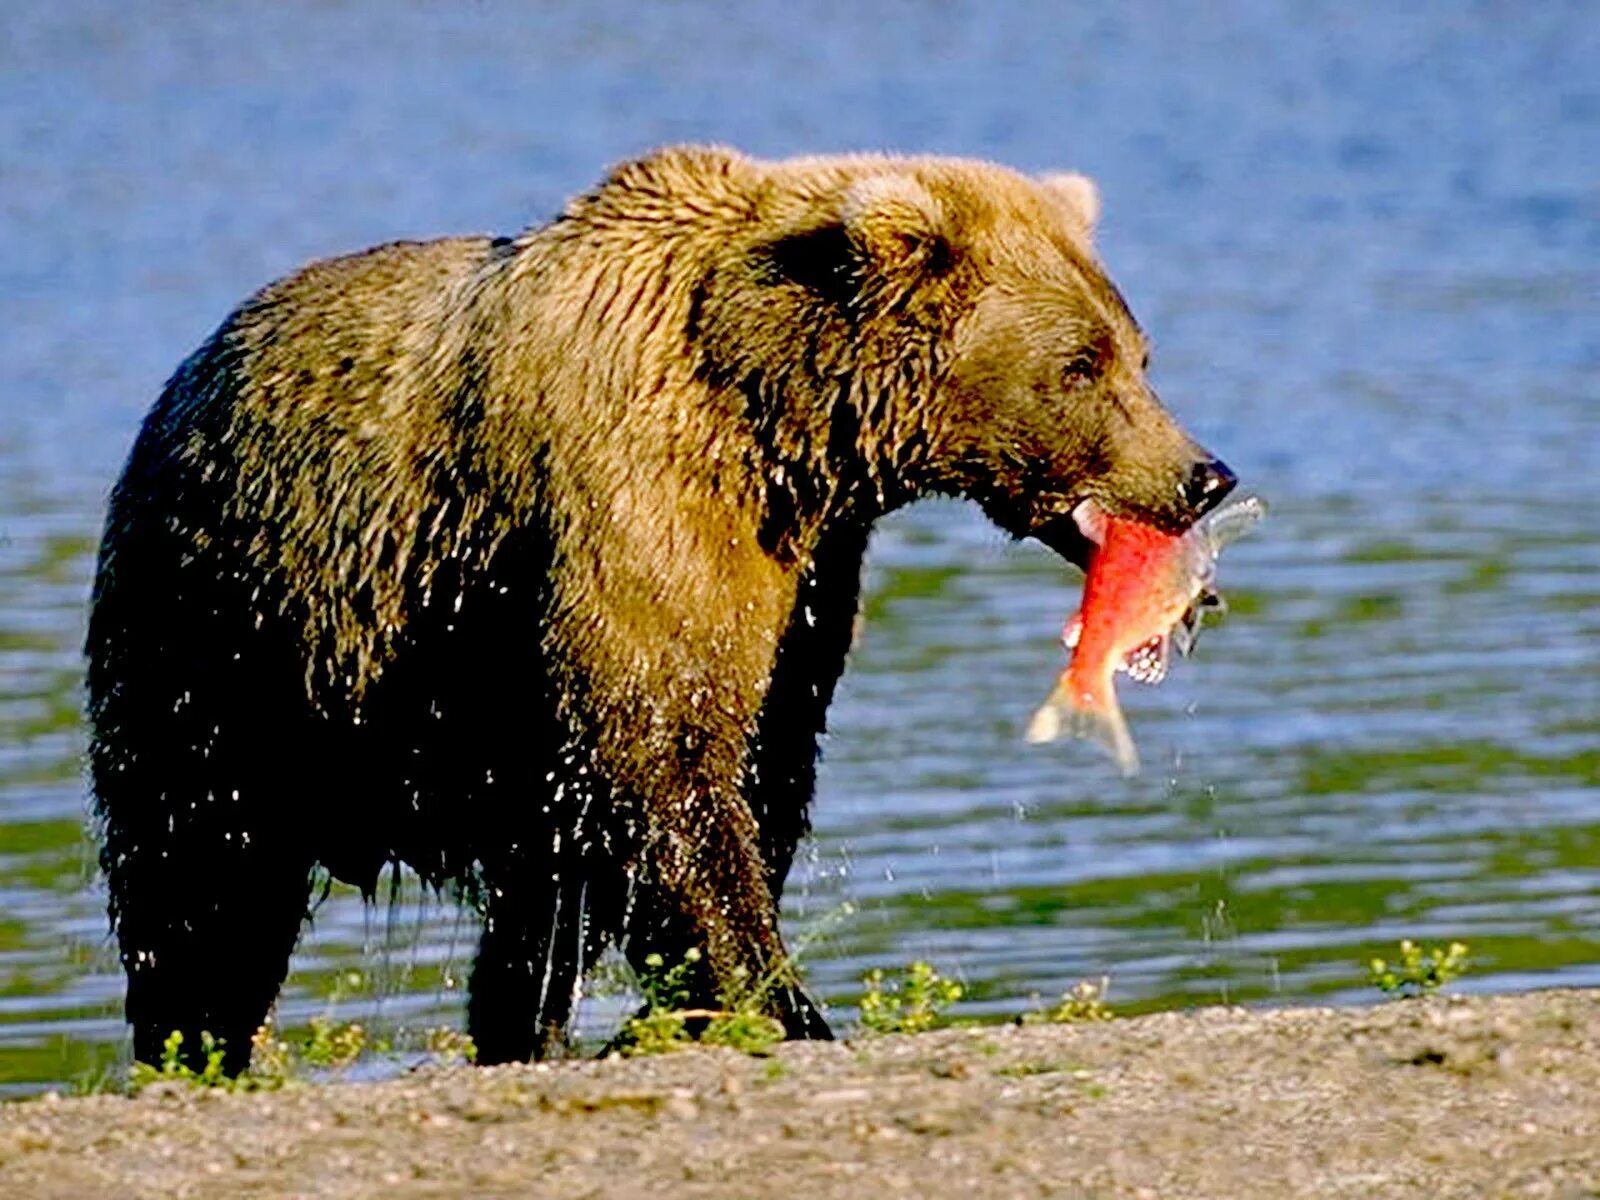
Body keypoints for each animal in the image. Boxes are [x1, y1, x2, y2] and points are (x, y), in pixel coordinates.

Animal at [84, 145, 1235, 1075]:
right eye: (1079, 364)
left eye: (1136, 351)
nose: (1201, 474)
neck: (779, 417)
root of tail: (188, 373)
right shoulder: (633, 499)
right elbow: (662, 758)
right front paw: (781, 1004)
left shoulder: (801, 574)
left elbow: (753, 761)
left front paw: (688, 1005)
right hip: (228, 632)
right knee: (200, 872)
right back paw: (196, 1045)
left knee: (530, 892)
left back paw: (519, 1027)